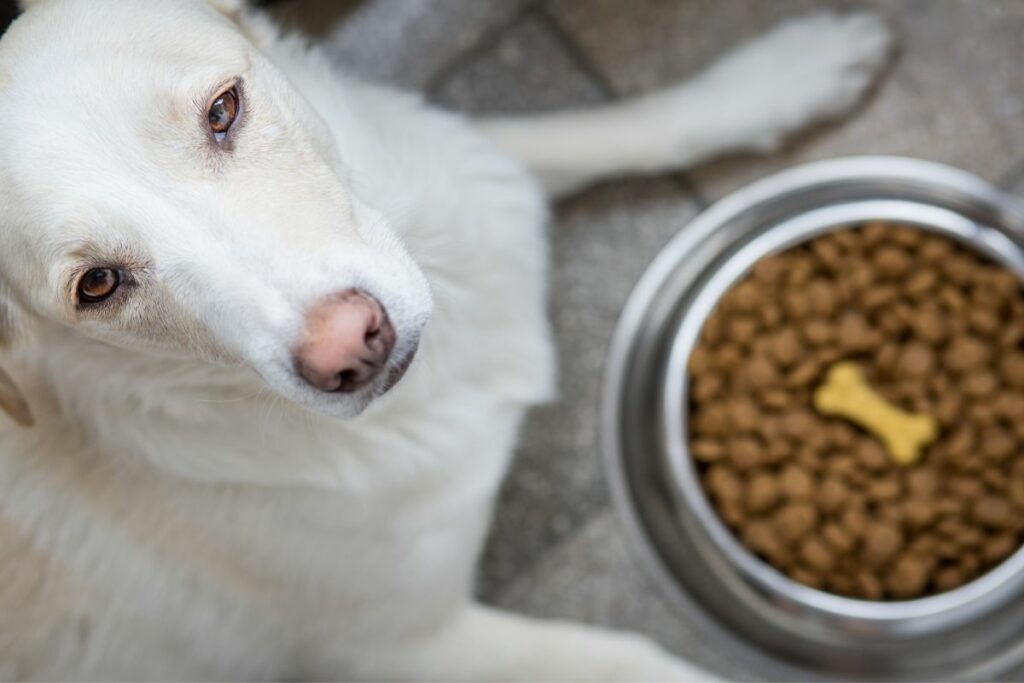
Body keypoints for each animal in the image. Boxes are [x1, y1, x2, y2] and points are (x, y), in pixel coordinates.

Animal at [0, 1, 888, 679]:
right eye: (97, 285)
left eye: (223, 110)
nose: (349, 347)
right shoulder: (409, 646)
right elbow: (639, 660)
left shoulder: (466, 159)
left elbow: (589, 131)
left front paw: (777, 77)